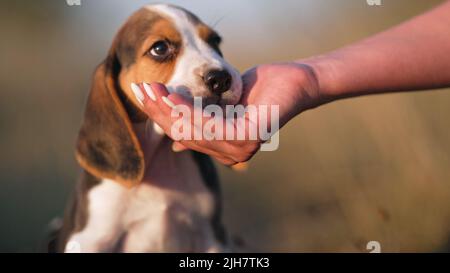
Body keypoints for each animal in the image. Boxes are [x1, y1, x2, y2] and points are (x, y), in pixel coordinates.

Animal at [52, 3, 243, 251]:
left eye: (215, 42)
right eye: (159, 48)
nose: (221, 78)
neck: (161, 155)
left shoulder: (212, 236)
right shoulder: (90, 239)